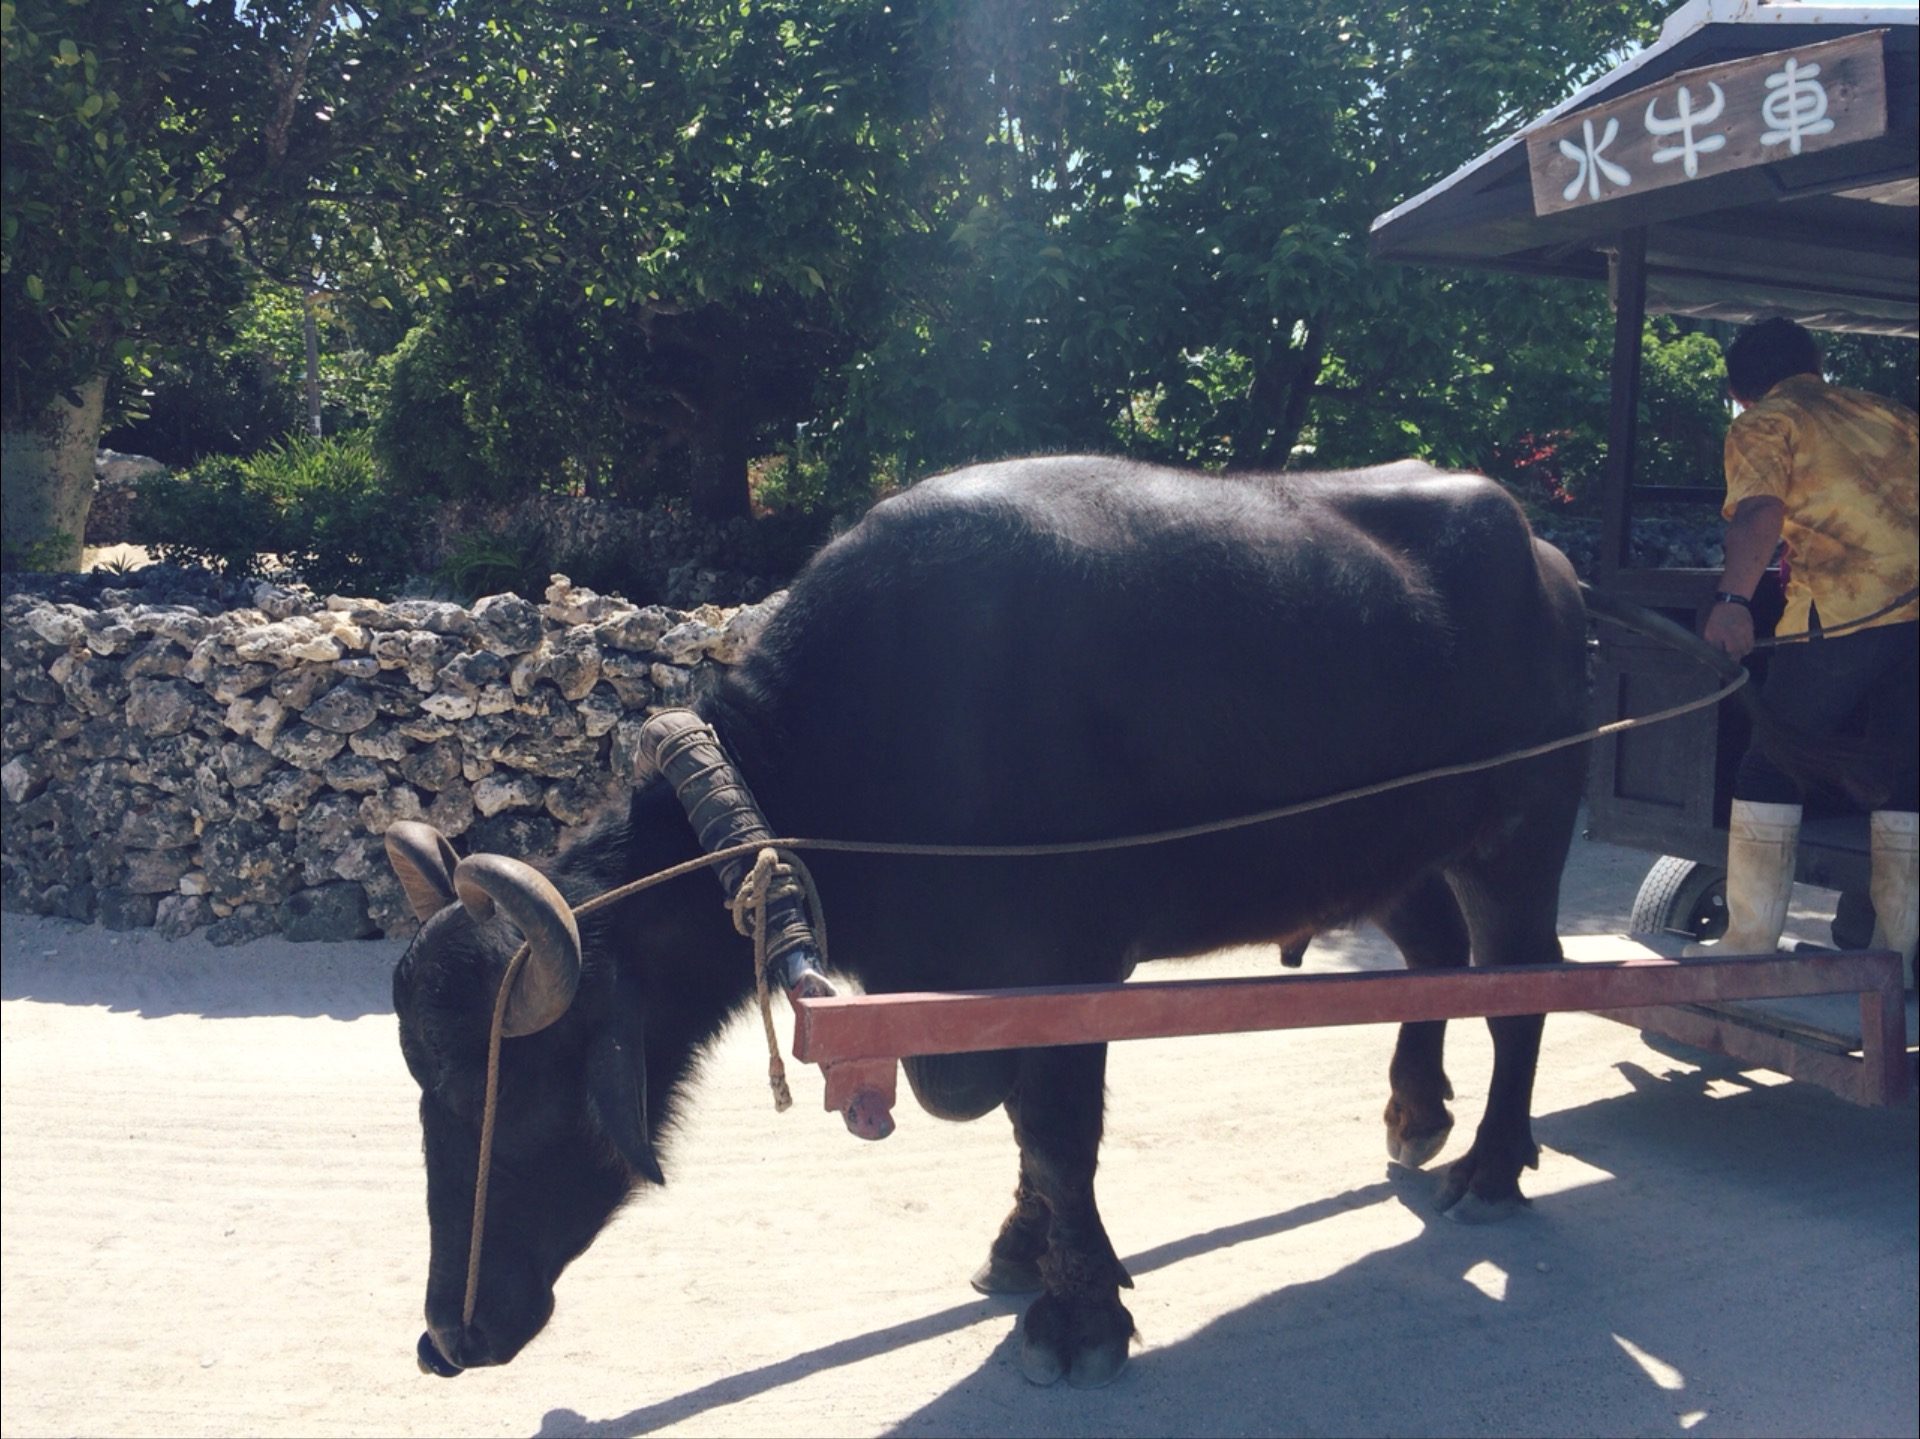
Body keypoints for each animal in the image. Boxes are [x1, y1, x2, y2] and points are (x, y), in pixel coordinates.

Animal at [387, 455, 1662, 1387]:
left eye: (517, 1083)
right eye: (423, 1080)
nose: (448, 1336)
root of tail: (1551, 564)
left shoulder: (1070, 969)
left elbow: (1056, 1131)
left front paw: (1079, 1309)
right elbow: (1024, 1140)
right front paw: (1022, 1251)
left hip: (1521, 832)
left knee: (1524, 985)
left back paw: (1492, 1164)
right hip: (1393, 856)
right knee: (1441, 963)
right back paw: (1415, 1113)